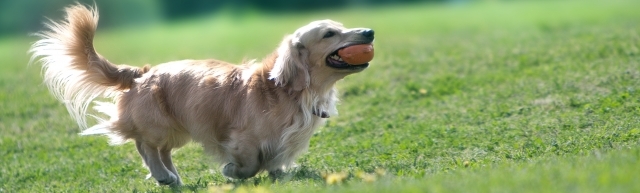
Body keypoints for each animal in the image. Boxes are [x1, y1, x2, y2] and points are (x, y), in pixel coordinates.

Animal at [27, 4, 372, 185]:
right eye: (330, 33)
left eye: (342, 26)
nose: (369, 32)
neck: (286, 90)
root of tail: (142, 73)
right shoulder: (242, 139)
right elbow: (249, 164)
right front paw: (232, 172)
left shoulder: (285, 142)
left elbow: (275, 162)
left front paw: (280, 175)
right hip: (159, 125)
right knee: (145, 146)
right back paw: (163, 176)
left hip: (178, 129)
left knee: (161, 150)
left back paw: (172, 176)